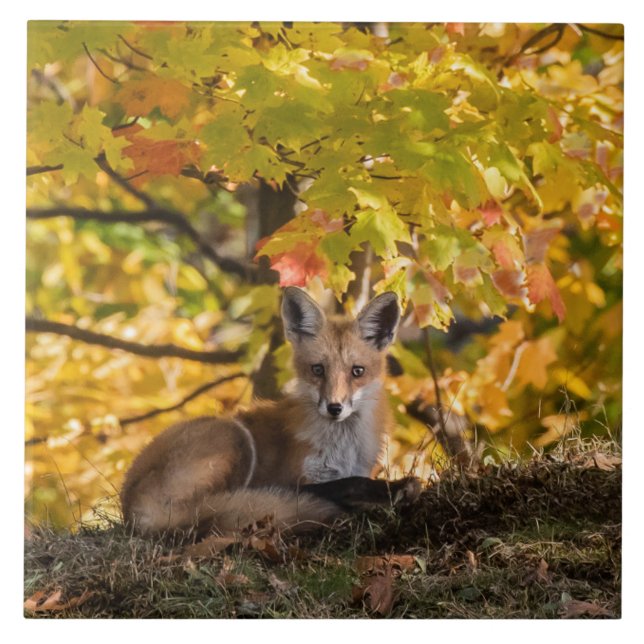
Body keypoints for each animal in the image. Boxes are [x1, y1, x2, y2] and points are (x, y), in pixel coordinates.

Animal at [120, 286, 420, 539]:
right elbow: (348, 484)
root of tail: (132, 507)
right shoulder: (295, 480)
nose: (334, 408)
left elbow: (352, 480)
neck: (341, 447)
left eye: (357, 371)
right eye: (317, 369)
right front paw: (391, 489)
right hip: (234, 437)